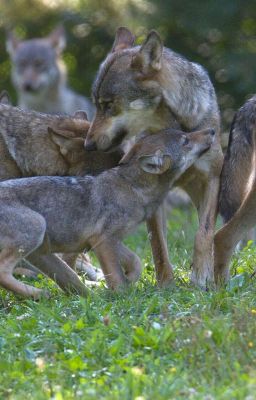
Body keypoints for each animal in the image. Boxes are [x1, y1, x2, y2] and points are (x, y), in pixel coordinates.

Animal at [0, 126, 213, 298]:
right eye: (185, 141)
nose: (211, 131)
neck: (132, 187)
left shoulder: (106, 240)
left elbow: (136, 261)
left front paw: (130, 278)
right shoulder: (103, 241)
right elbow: (117, 278)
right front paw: (121, 296)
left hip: (41, 253)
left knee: (72, 279)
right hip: (37, 230)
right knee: (3, 272)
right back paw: (38, 293)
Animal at [85, 27, 223, 288]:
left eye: (108, 105)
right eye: (96, 105)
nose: (88, 145)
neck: (175, 125)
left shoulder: (211, 178)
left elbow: (204, 232)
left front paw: (200, 276)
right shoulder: (154, 193)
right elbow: (158, 245)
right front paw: (165, 284)